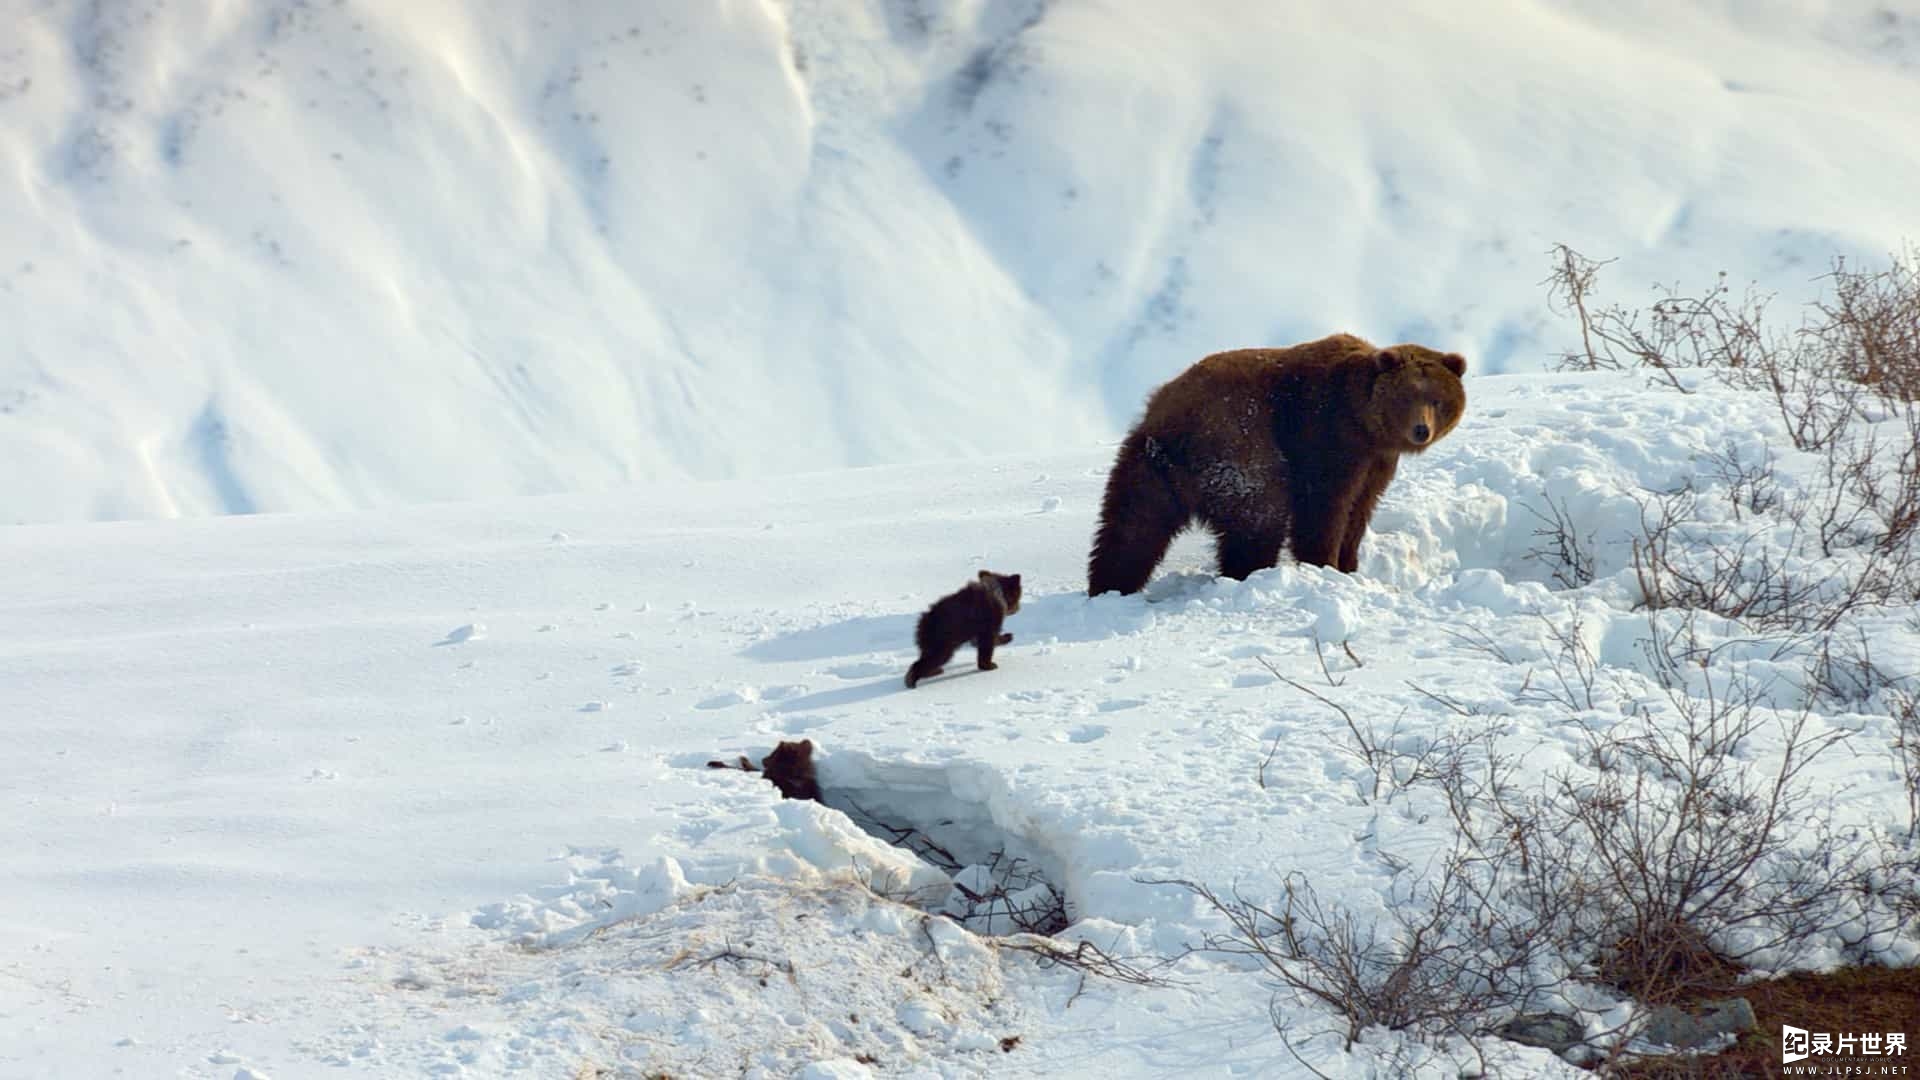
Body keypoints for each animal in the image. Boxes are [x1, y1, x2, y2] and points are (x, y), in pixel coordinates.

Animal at [1082, 332, 1466, 591]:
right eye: (1406, 397)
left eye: (1437, 399)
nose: (1421, 430)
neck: (1366, 424)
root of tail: (1166, 424)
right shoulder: (1326, 436)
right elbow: (1324, 506)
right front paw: (1324, 565)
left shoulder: (1376, 462)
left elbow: (1361, 507)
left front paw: (1350, 563)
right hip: (1235, 443)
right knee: (1260, 510)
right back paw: (1249, 571)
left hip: (1148, 467)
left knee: (1132, 523)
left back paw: (1110, 583)